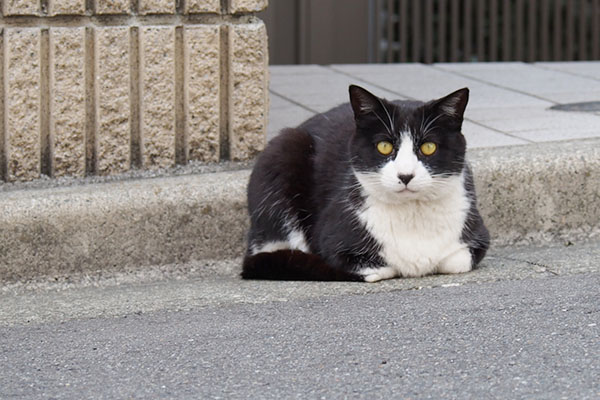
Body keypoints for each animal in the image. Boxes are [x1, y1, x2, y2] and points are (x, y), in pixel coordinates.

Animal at [241, 86, 490, 282]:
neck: (412, 213)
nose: (405, 175)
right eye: (384, 146)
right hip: (282, 152)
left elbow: (457, 261)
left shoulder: (476, 234)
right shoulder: (334, 240)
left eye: (429, 147)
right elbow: (377, 268)